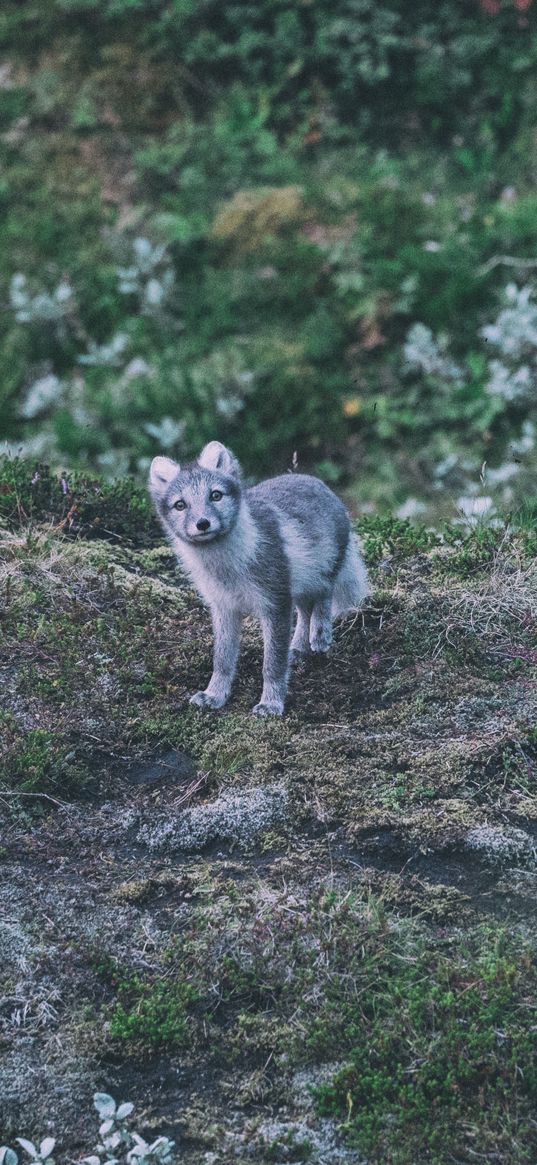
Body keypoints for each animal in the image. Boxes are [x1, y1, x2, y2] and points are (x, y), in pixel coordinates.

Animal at [149, 440, 368, 712]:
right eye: (180, 505)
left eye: (215, 495)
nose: (202, 523)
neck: (227, 569)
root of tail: (316, 481)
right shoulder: (223, 607)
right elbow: (222, 660)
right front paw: (214, 695)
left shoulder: (275, 603)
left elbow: (272, 664)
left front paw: (271, 704)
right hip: (296, 585)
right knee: (304, 612)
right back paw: (297, 648)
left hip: (320, 571)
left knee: (324, 594)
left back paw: (320, 634)